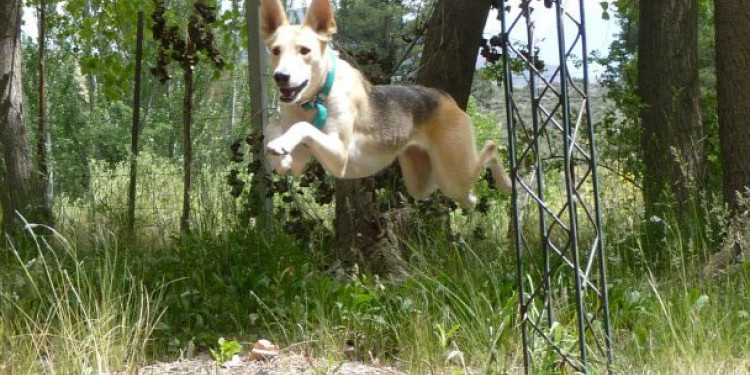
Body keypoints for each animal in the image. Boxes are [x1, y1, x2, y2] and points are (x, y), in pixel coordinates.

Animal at [262, 0, 516, 209]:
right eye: (275, 51)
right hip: (424, 181)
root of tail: (446, 98)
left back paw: (506, 183)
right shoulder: (301, 161)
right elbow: (273, 130)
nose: (280, 77)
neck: (315, 99)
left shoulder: (339, 155)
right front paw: (280, 151)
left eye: (305, 51)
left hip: (453, 173)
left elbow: (302, 127)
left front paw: (281, 143)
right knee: (468, 195)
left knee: (491, 148)